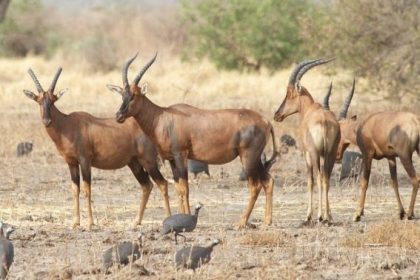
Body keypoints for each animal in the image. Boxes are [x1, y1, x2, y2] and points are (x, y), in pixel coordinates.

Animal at [22, 68, 171, 230]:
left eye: (53, 100)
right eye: (38, 100)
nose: (47, 121)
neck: (68, 124)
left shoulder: (85, 161)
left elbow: (87, 190)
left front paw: (90, 223)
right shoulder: (71, 163)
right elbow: (75, 190)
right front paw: (76, 223)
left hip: (148, 161)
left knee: (163, 183)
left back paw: (167, 218)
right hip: (134, 163)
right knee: (147, 185)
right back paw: (136, 221)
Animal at [108, 53, 278, 229]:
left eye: (134, 95)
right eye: (122, 95)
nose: (119, 116)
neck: (164, 117)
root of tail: (266, 121)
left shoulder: (181, 155)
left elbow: (185, 187)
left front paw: (187, 216)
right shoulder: (172, 159)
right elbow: (178, 187)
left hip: (248, 157)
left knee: (255, 186)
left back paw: (241, 223)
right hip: (256, 159)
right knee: (268, 181)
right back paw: (267, 221)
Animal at [274, 58, 340, 222]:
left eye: (289, 93)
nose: (277, 115)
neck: (311, 109)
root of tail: (324, 120)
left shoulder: (306, 154)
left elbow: (310, 181)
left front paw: (308, 215)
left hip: (315, 153)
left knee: (318, 177)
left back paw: (320, 216)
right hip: (330, 153)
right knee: (326, 178)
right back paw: (328, 216)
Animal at [334, 82, 418, 221]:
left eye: (338, 130)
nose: (336, 156)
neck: (363, 125)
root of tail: (415, 122)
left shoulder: (367, 155)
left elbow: (364, 182)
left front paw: (357, 214)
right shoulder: (391, 158)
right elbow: (394, 182)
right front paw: (400, 213)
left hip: (405, 156)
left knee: (415, 180)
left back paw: (410, 214)